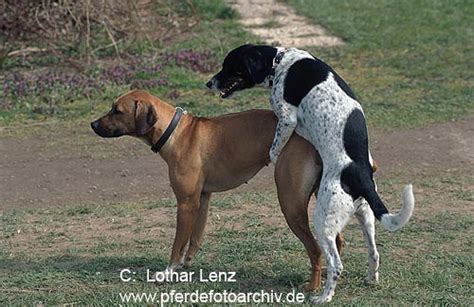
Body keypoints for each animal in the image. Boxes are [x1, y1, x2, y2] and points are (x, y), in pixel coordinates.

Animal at [90, 89, 340, 292]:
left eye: (117, 110)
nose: (93, 124)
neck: (174, 131)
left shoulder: (185, 204)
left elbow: (177, 244)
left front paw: (168, 272)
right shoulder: (201, 200)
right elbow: (194, 238)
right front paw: (186, 264)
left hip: (291, 205)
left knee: (315, 249)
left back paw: (313, 287)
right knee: (337, 243)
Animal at [207, 44, 414, 304]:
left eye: (229, 66)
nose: (208, 83)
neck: (279, 61)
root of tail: (360, 176)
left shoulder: (286, 118)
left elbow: (275, 146)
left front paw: (273, 155)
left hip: (323, 222)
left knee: (336, 264)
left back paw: (324, 297)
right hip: (365, 217)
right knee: (374, 253)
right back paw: (371, 280)